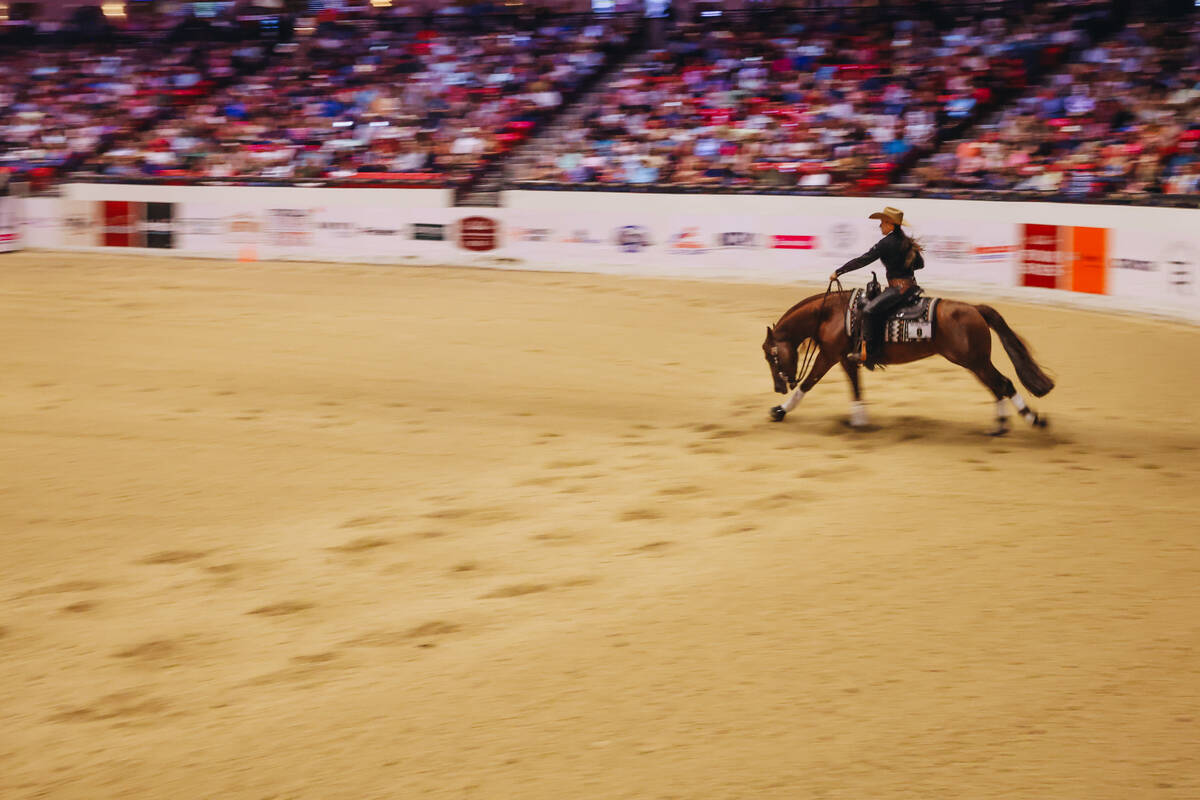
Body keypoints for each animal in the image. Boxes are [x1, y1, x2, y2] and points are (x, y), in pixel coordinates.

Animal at [763, 281, 1056, 434]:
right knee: (998, 386)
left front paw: (780, 411)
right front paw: (859, 420)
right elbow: (856, 387)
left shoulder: (828, 355)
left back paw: (1028, 420)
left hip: (974, 361)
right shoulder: (846, 358)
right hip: (976, 362)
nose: (778, 387)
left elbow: (808, 384)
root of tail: (975, 309)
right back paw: (1006, 423)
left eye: (770, 355)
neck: (831, 314)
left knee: (1003, 383)